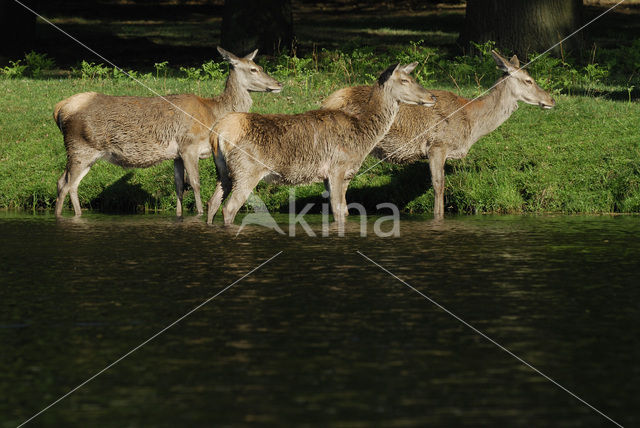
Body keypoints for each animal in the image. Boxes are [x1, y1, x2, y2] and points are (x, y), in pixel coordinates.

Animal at [53, 46, 284, 217]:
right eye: (253, 69)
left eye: (259, 65)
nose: (279, 83)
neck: (213, 115)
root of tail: (60, 108)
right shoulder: (189, 145)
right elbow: (196, 184)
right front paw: (199, 214)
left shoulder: (177, 155)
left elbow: (179, 187)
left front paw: (179, 215)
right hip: (80, 147)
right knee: (66, 184)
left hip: (86, 153)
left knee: (66, 182)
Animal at [208, 62, 438, 227]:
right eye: (404, 80)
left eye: (412, 77)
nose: (432, 96)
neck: (363, 137)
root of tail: (218, 132)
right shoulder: (337, 167)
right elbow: (338, 210)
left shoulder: (340, 175)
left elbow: (344, 210)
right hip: (246, 170)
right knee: (229, 208)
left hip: (224, 172)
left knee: (212, 203)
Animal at [322, 49, 552, 219]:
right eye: (528, 80)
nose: (551, 99)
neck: (471, 125)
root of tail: (327, 102)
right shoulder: (438, 145)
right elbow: (439, 185)